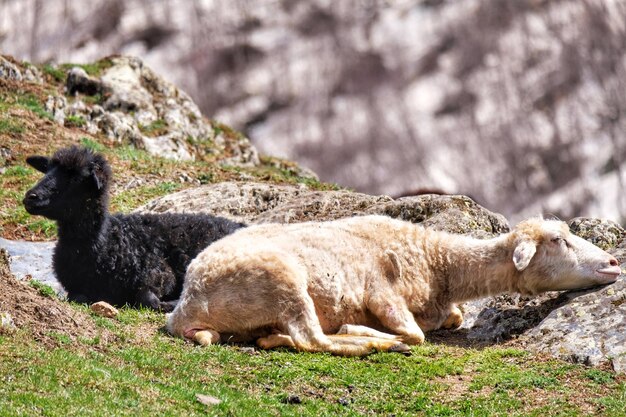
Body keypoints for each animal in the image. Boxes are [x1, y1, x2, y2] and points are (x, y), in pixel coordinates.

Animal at [22, 145, 243, 310]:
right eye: (47, 169)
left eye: (76, 178)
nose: (30, 197)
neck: (105, 244)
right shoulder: (74, 286)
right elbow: (77, 296)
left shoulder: (159, 273)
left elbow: (148, 299)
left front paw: (172, 303)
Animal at [166, 214, 620, 354]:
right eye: (558, 240)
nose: (615, 262)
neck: (440, 265)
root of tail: (184, 310)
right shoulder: (382, 293)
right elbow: (415, 332)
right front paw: (373, 330)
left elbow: (452, 319)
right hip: (283, 280)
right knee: (315, 340)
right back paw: (367, 341)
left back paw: (272, 336)